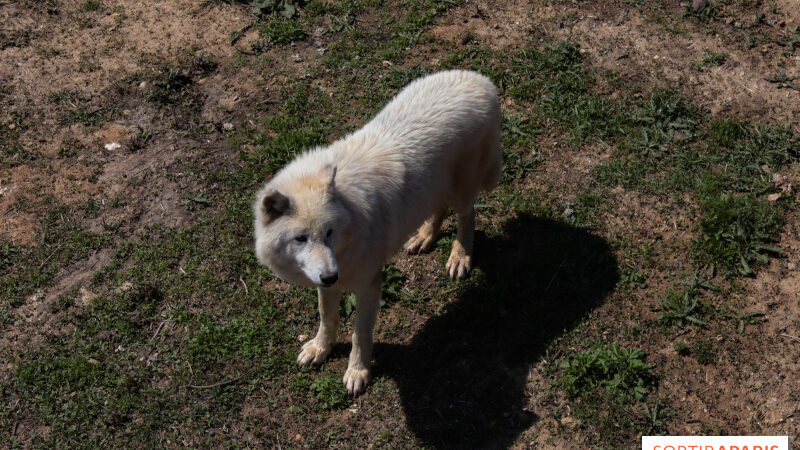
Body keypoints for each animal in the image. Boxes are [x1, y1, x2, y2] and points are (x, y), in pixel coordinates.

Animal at [253, 69, 500, 394]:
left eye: (329, 232)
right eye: (300, 239)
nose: (331, 276)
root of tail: (481, 80)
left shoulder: (369, 284)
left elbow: (360, 333)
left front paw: (358, 372)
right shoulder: (326, 280)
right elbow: (327, 317)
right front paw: (320, 348)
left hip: (463, 190)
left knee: (466, 215)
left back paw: (460, 257)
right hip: (433, 187)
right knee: (439, 209)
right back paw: (424, 237)